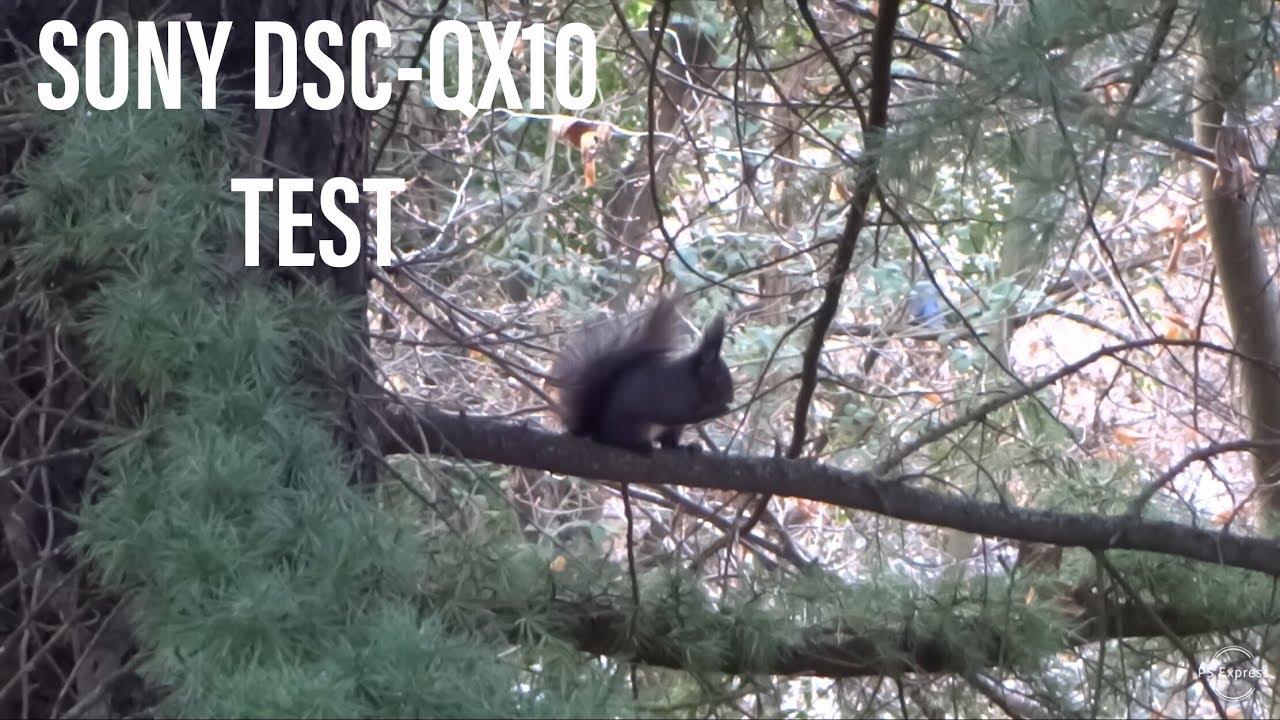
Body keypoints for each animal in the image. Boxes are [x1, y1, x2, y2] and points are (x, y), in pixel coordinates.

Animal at [548, 296, 734, 453]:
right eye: (719, 379)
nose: (731, 399)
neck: (694, 378)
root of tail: (597, 431)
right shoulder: (674, 396)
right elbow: (681, 414)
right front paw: (718, 410)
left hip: (669, 430)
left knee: (669, 443)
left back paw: (686, 447)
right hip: (631, 427)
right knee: (618, 440)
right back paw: (639, 446)